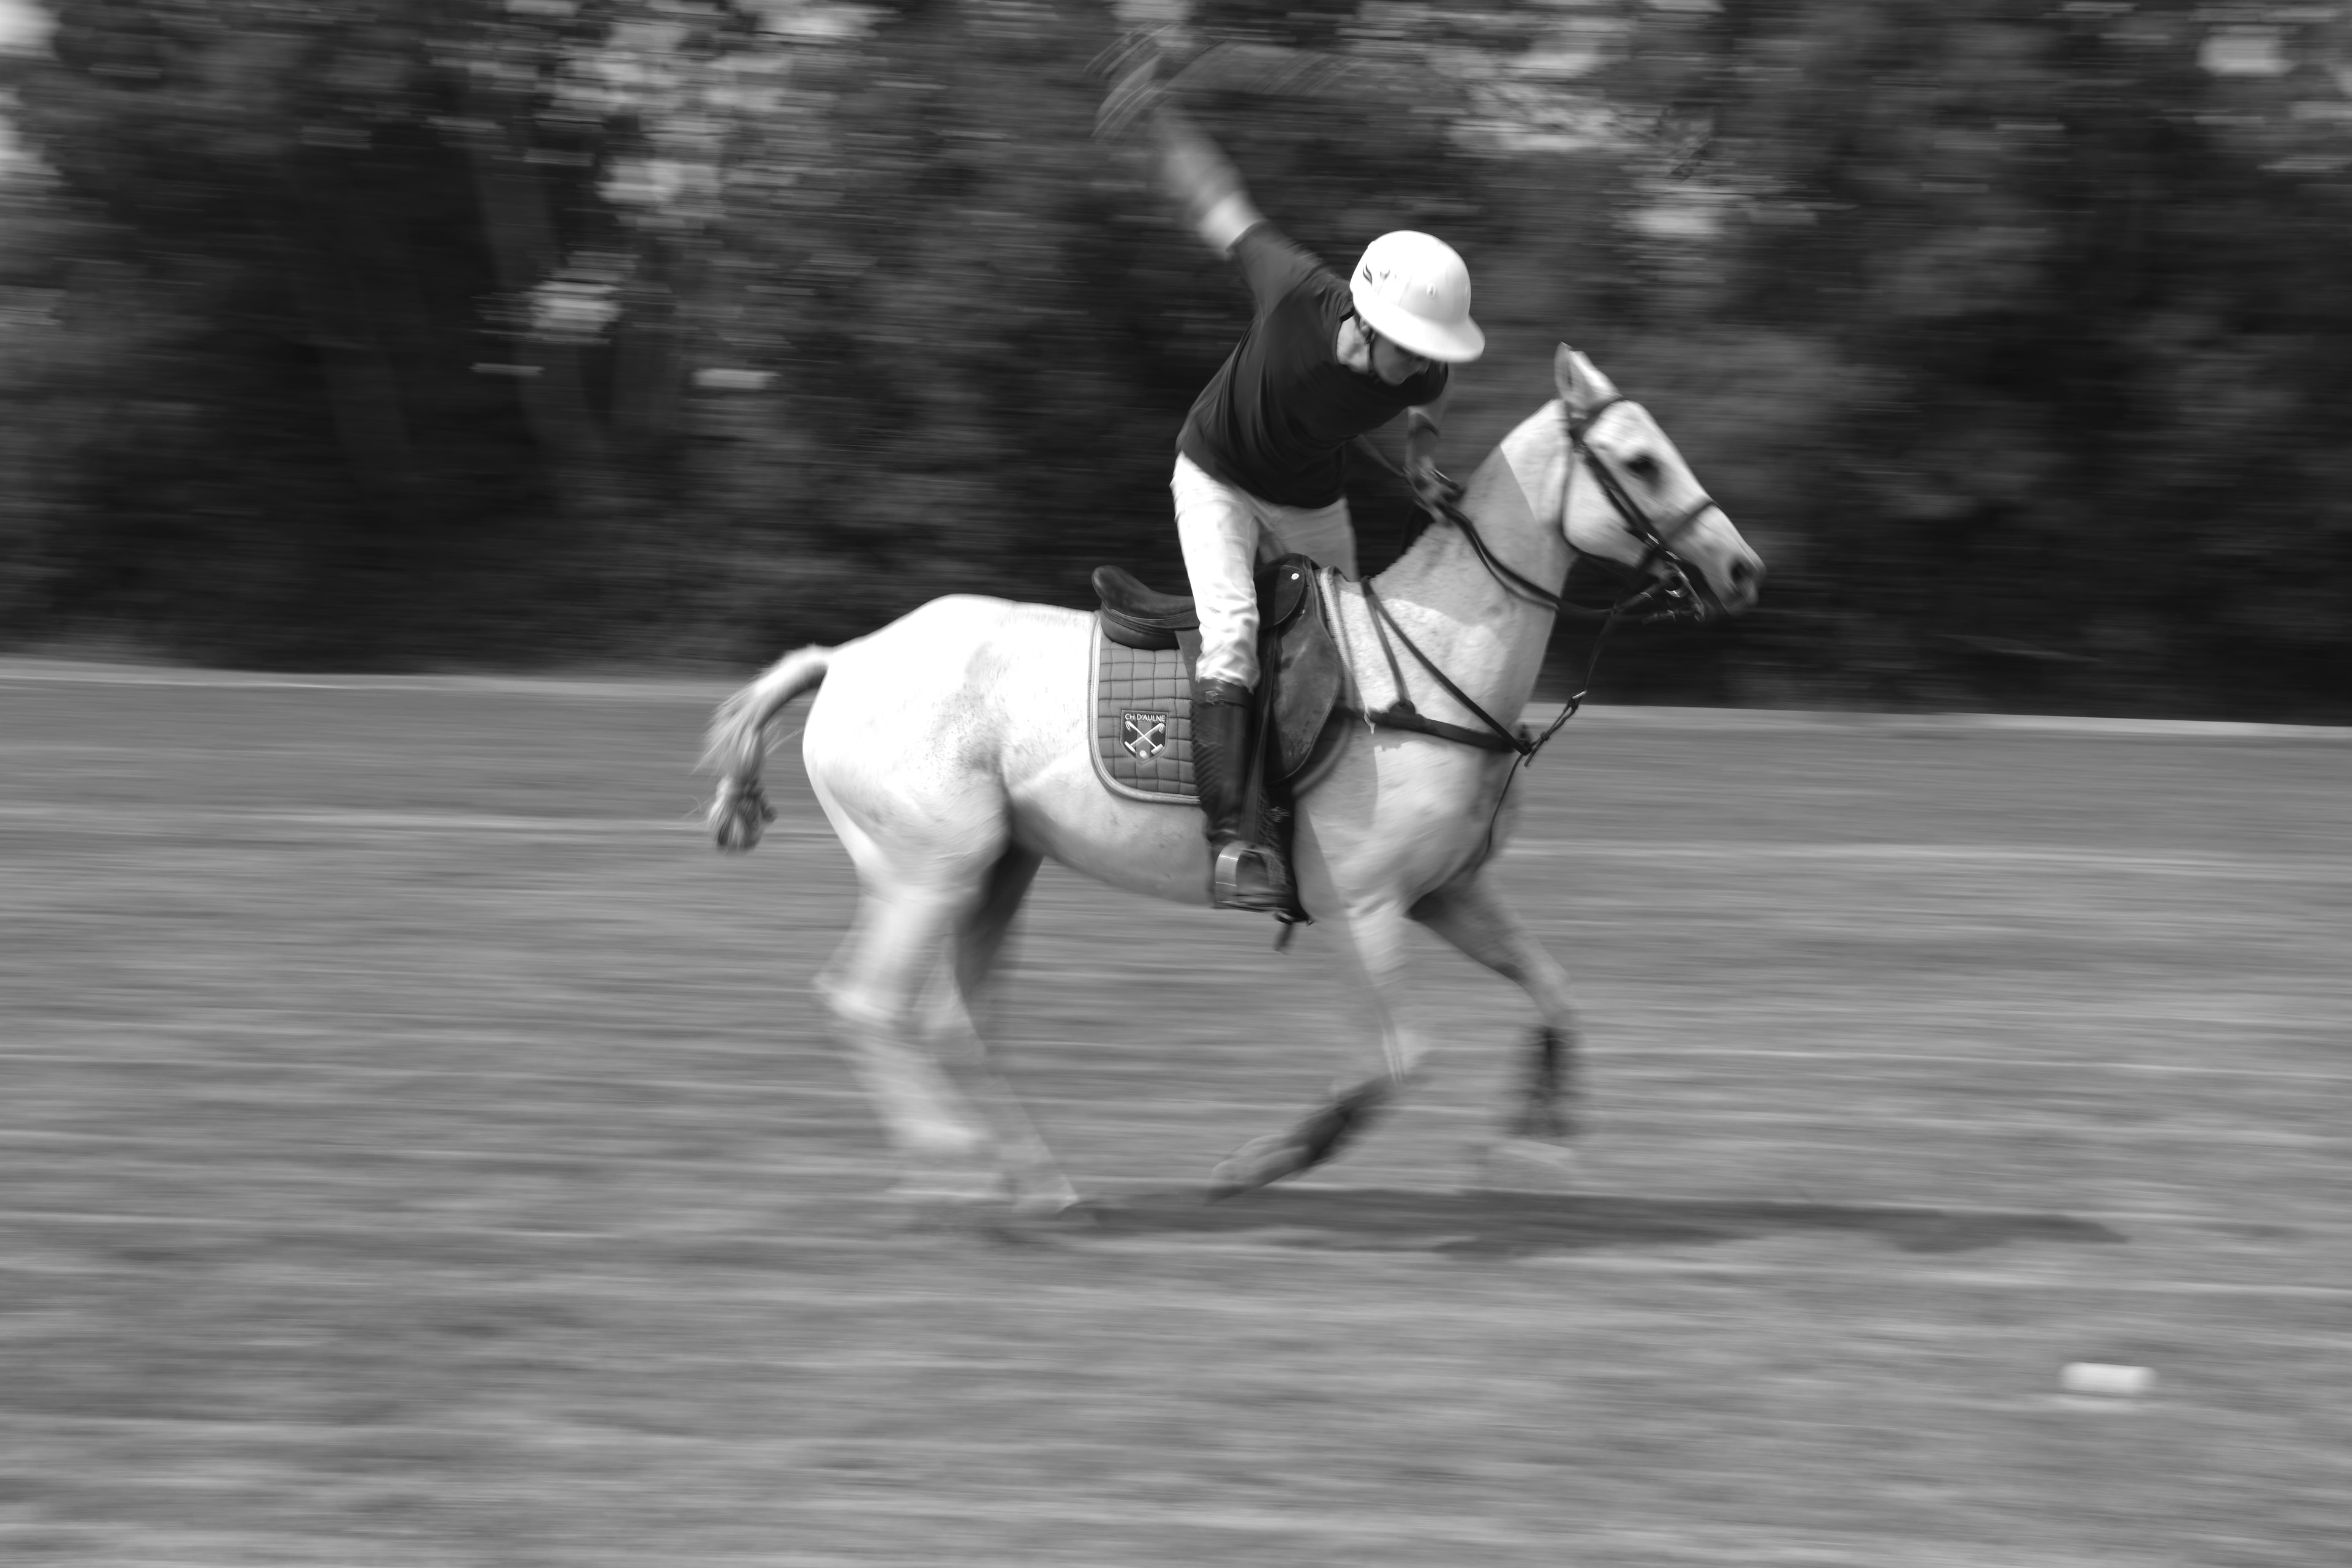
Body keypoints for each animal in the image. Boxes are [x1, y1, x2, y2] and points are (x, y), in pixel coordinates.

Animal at [702, 346, 1763, 1215]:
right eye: (1641, 462)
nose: (1741, 568)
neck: (1434, 664)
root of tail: (843, 659)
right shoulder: (1366, 906)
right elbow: (1400, 1061)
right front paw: (1262, 1162)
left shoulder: (1450, 893)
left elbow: (1554, 994)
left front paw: (1530, 1146)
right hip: (928, 865)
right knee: (868, 1003)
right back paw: (951, 1163)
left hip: (998, 866)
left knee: (953, 1017)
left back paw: (1040, 1185)